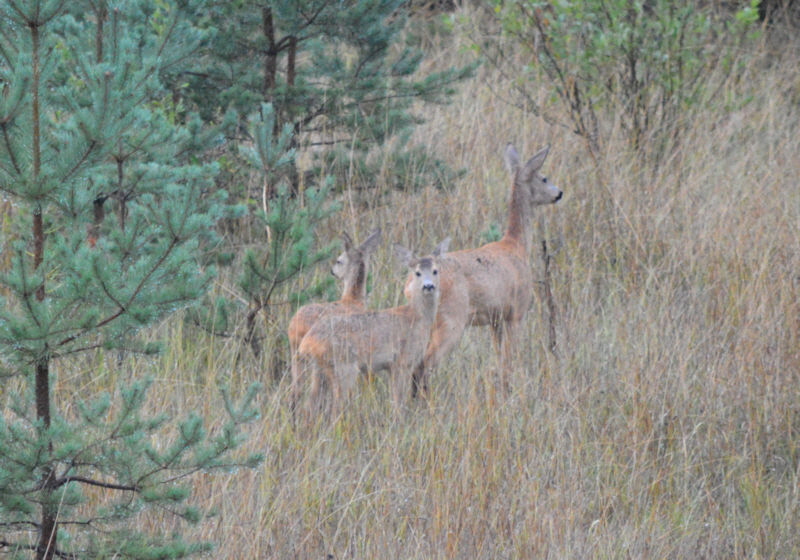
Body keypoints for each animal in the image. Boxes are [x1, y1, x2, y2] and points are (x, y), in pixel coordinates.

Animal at [290, 226, 382, 412]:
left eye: (339, 260)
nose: (332, 271)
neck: (353, 300)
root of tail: (294, 326)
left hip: (297, 356)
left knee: (297, 392)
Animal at [298, 238, 450, 418]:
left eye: (435, 271)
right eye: (417, 273)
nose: (428, 286)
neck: (417, 317)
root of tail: (307, 343)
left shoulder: (392, 366)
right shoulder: (402, 361)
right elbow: (398, 402)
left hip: (319, 369)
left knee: (310, 405)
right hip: (343, 366)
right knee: (335, 407)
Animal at [410, 144, 564, 398]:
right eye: (544, 177)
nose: (559, 193)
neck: (516, 246)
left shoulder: (495, 319)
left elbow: (500, 361)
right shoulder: (516, 313)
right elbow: (509, 362)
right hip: (451, 319)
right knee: (424, 364)